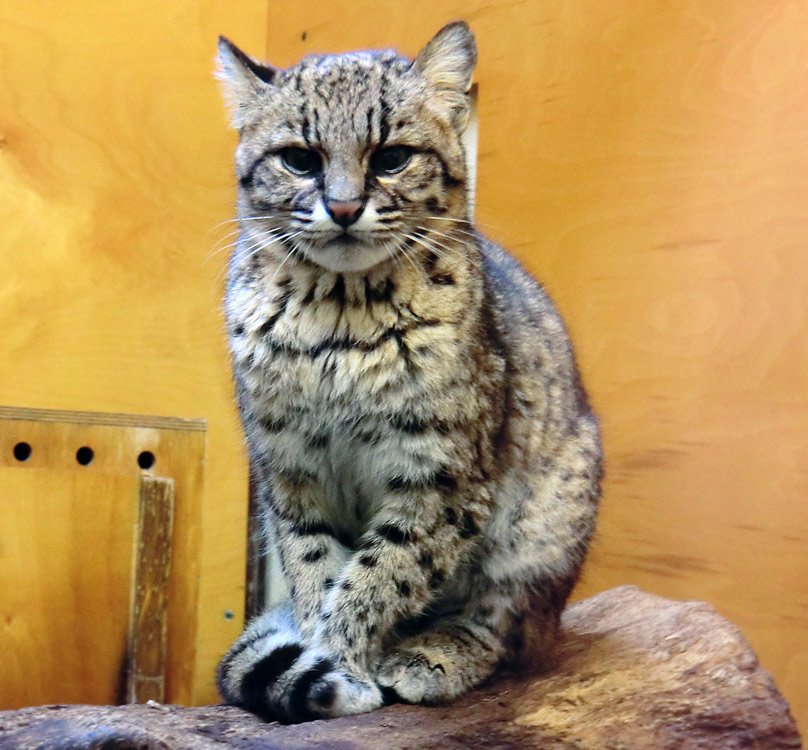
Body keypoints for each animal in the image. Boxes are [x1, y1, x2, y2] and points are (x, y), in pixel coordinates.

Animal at [213, 20, 600, 724]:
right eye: (300, 159)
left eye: (391, 156)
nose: (343, 208)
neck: (338, 325)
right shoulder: (289, 471)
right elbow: (314, 566)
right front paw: (326, 658)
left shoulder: (440, 476)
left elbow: (383, 570)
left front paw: (341, 655)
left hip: (546, 527)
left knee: (508, 627)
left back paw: (436, 654)